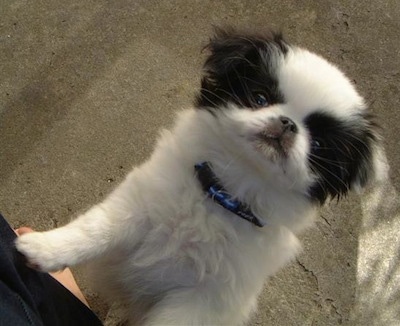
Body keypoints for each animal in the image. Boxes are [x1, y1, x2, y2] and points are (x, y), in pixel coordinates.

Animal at [15, 28, 382, 326]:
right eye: (259, 97)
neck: (222, 195)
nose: (287, 123)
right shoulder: (137, 205)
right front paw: (45, 248)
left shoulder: (206, 299)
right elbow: (95, 230)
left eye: (318, 145)